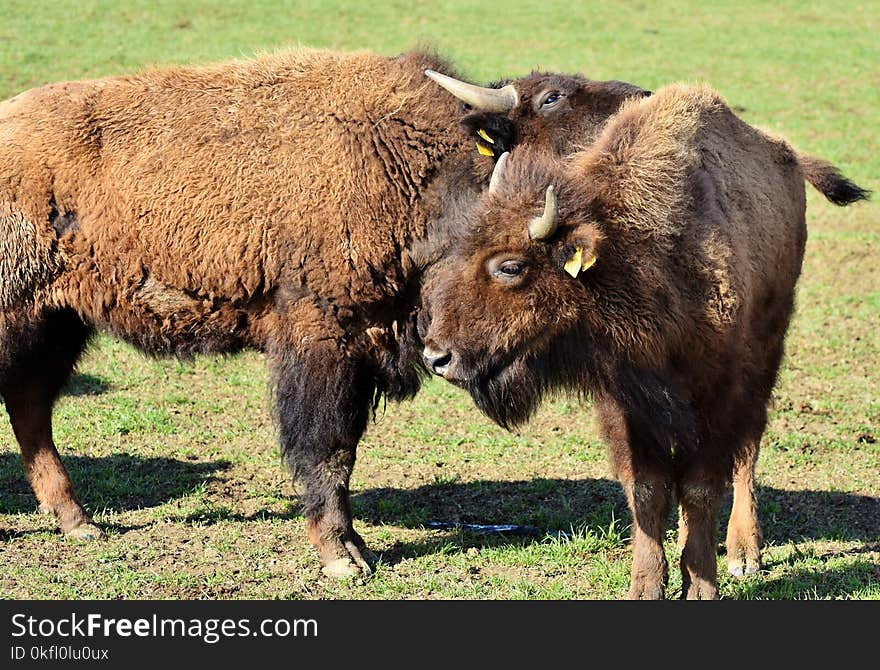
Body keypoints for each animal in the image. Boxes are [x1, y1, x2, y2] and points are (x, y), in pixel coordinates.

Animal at [422, 81, 868, 600]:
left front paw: (701, 585)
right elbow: (647, 491)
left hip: (767, 348)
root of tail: (787, 154)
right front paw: (647, 585)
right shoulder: (626, 404)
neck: (633, 255)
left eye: (511, 266)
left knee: (748, 448)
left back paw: (744, 554)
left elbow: (701, 487)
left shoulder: (718, 393)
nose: (437, 356)